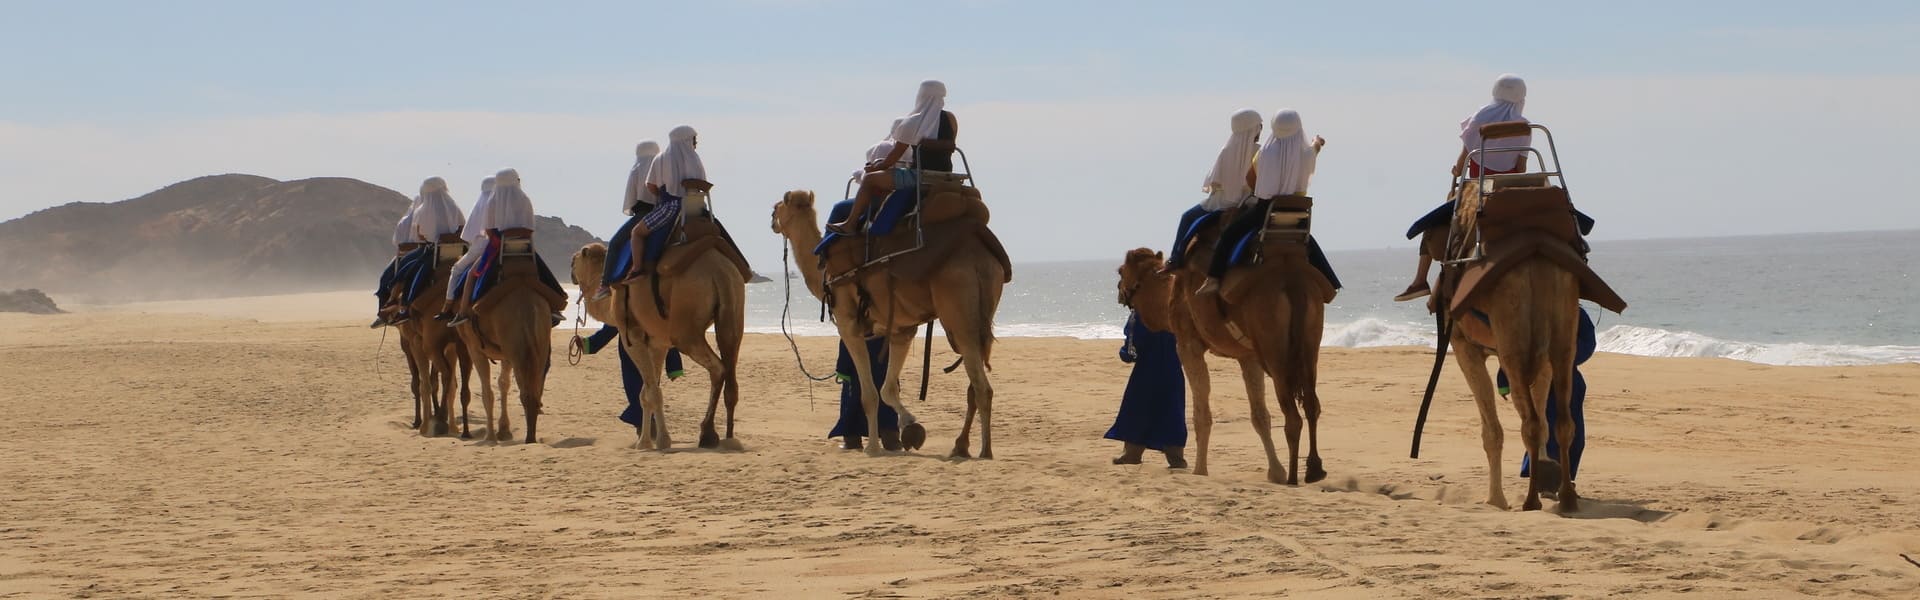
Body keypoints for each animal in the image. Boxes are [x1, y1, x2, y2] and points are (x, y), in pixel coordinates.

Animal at [560, 231, 741, 448]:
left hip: (685, 327)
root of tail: (719, 271)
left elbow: (651, 392)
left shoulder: (633, 337)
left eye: (576, 258)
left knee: (718, 368)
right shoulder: (658, 342)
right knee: (730, 373)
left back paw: (707, 434)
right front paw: (646, 440)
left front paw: (659, 441)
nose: (570, 268)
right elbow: (646, 392)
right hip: (733, 311)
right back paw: (728, 436)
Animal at [768, 189, 1013, 457]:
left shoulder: (848, 324)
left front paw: (873, 447)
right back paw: (960, 446)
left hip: (958, 308)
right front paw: (911, 429)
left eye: (777, 207)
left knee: (981, 386)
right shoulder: (899, 330)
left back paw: (985, 451)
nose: (772, 222)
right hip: (985, 305)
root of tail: (978, 252)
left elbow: (870, 394)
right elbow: (888, 388)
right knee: (974, 384)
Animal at [1121, 200, 1336, 482]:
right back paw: (1313, 470)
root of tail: (1291, 279)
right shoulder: (1248, 355)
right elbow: (1259, 415)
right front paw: (1275, 472)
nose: (1120, 293)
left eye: (1120, 271)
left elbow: (1201, 413)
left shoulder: (1188, 343)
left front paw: (1200, 471)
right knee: (1312, 403)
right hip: (1310, 334)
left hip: (1274, 343)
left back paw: (1293, 478)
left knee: (1292, 411)